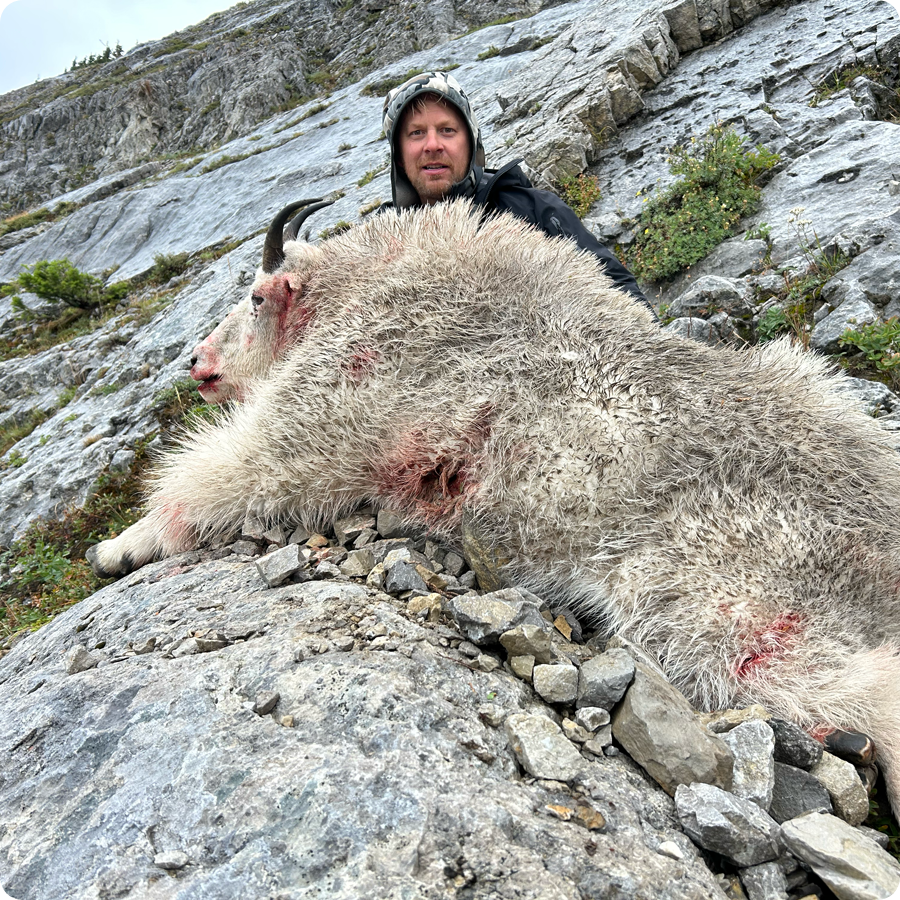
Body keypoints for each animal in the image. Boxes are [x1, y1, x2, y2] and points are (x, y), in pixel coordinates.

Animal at [88, 199, 900, 816]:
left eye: (257, 299)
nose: (198, 364)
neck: (366, 287)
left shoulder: (332, 410)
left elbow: (230, 470)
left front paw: (119, 546)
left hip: (737, 617)